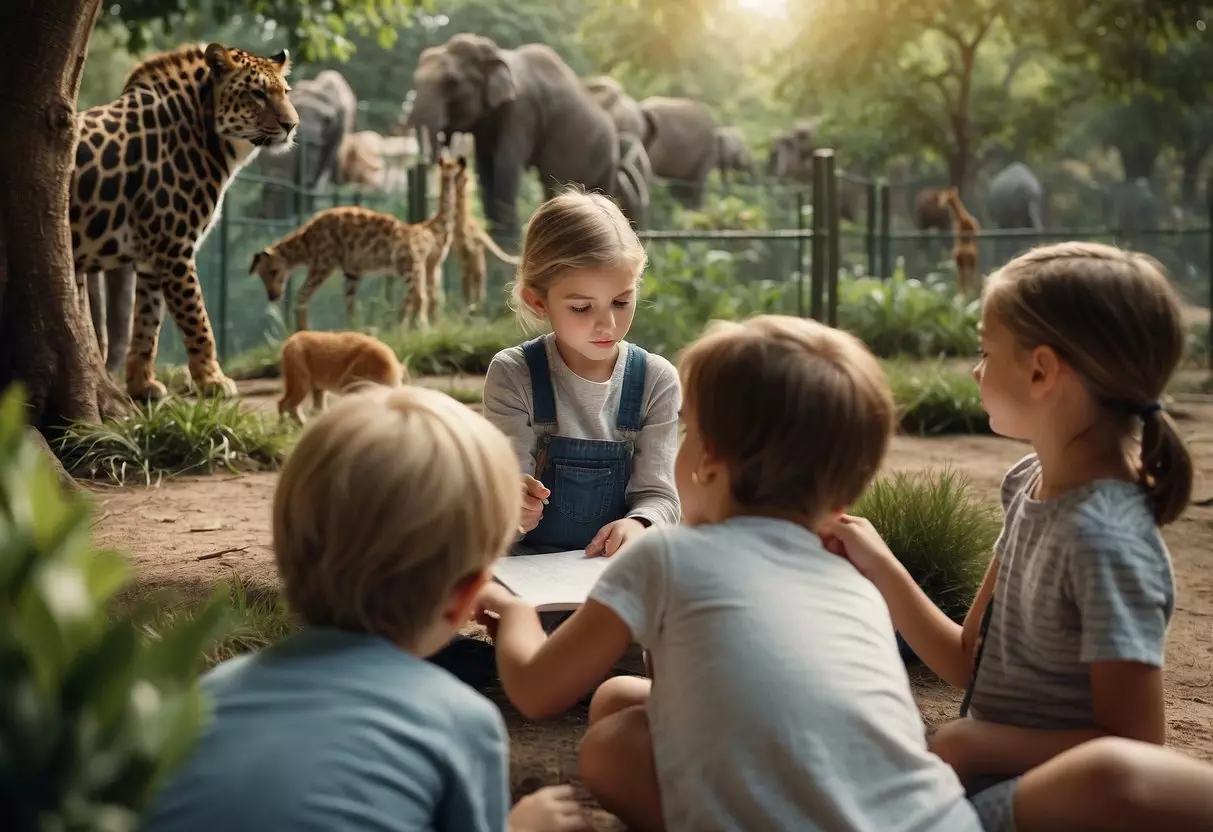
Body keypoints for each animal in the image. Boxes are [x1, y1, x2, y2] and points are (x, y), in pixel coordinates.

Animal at [70, 41, 298, 400]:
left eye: (285, 92)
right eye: (257, 94)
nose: (292, 125)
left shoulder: (152, 260)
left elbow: (147, 323)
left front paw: (142, 384)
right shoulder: (175, 248)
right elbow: (197, 319)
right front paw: (213, 380)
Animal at [249, 153, 463, 332]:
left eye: (273, 271)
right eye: (261, 275)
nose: (272, 296)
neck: (305, 244)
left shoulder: (323, 266)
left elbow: (301, 297)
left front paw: (302, 333)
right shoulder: (351, 272)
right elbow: (350, 305)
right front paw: (352, 330)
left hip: (411, 269)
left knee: (421, 297)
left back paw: (417, 328)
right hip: (424, 269)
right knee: (429, 297)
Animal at [407, 33, 650, 241]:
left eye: (453, 82)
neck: (497, 54)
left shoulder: (522, 110)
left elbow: (506, 163)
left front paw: (506, 238)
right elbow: (485, 168)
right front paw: (496, 234)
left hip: (607, 154)